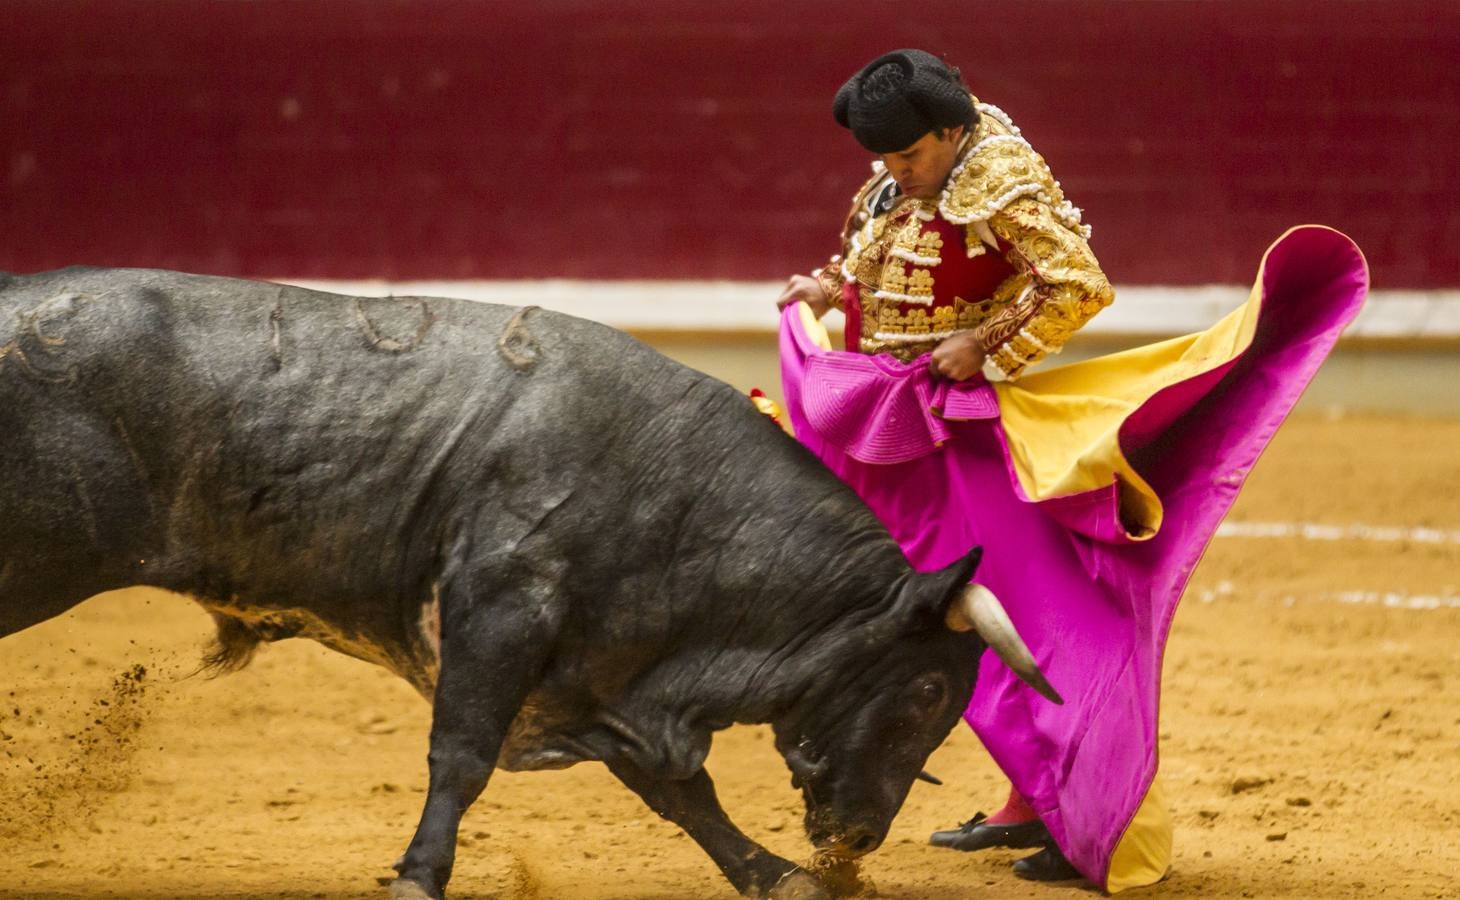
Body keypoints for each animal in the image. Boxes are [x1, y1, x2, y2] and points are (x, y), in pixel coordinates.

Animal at [0, 268, 1057, 900]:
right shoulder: (503, 615)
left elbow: (683, 792)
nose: (863, 838)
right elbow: (462, 757)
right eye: (925, 690)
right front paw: (420, 875)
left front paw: (774, 873)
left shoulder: (602, 673)